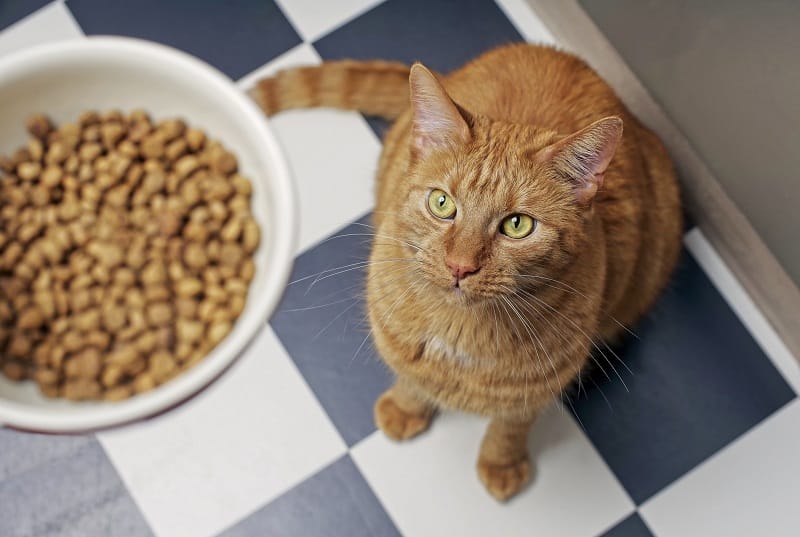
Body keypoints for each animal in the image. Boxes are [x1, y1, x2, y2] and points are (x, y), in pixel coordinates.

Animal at [252, 44, 680, 500]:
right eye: (442, 203)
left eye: (517, 225)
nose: (460, 265)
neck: (459, 332)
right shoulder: (399, 343)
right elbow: (411, 379)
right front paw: (406, 407)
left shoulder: (536, 388)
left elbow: (510, 426)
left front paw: (501, 463)